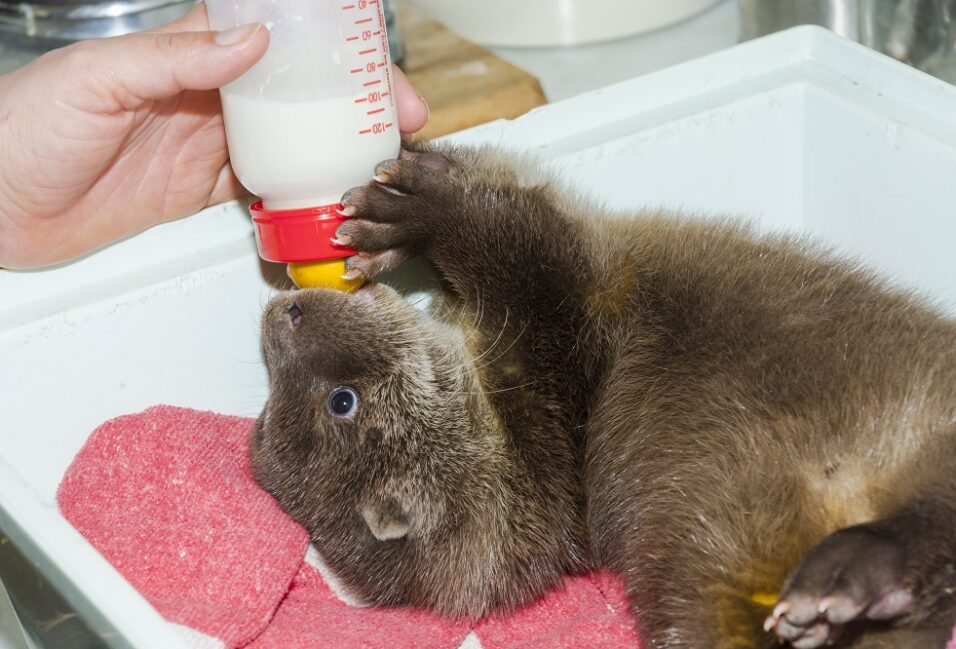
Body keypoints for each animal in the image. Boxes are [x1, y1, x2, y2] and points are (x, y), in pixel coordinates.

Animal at [252, 148, 956, 648]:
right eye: (341, 401)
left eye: (266, 417)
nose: (281, 314)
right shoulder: (565, 354)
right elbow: (524, 245)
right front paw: (427, 209)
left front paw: (395, 220)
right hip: (703, 556)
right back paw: (850, 582)